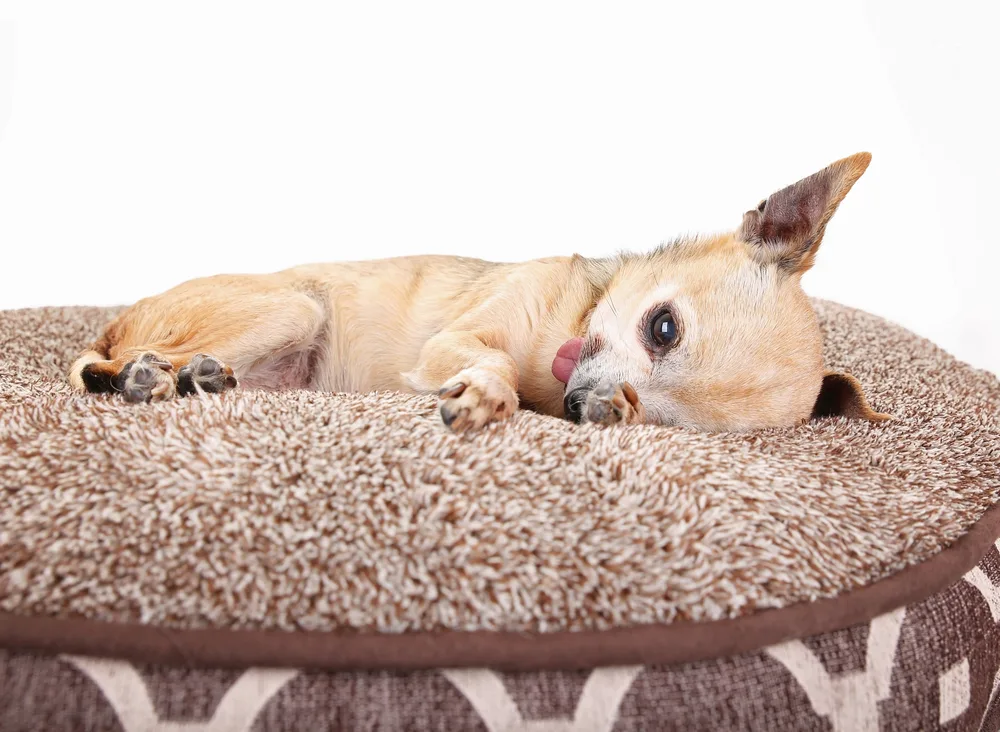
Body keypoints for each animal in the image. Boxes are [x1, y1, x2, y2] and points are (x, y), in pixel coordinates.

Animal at [70, 152, 888, 432]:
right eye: (663, 328)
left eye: (659, 417)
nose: (577, 401)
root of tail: (121, 322)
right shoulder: (455, 342)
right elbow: (490, 365)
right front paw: (490, 394)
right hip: (290, 306)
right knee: (102, 366)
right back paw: (147, 375)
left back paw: (197, 378)